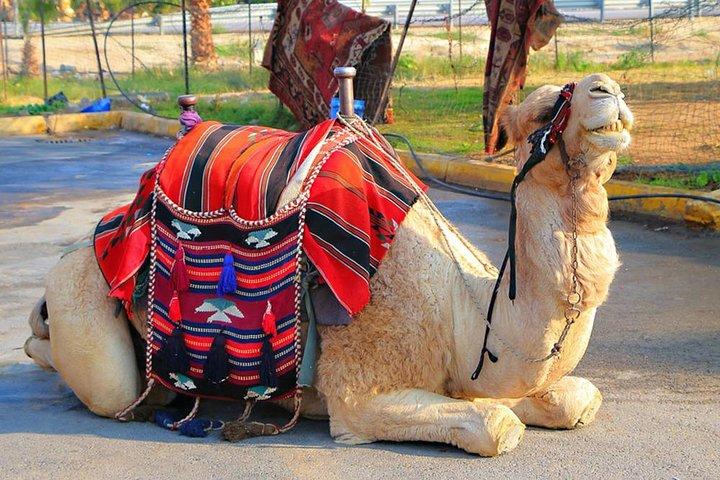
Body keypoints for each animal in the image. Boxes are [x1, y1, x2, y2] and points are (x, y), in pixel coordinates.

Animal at [24, 73, 632, 456]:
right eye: (541, 115)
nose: (609, 90)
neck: (465, 312)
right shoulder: (362, 391)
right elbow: (496, 427)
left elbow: (576, 396)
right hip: (84, 299)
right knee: (108, 385)